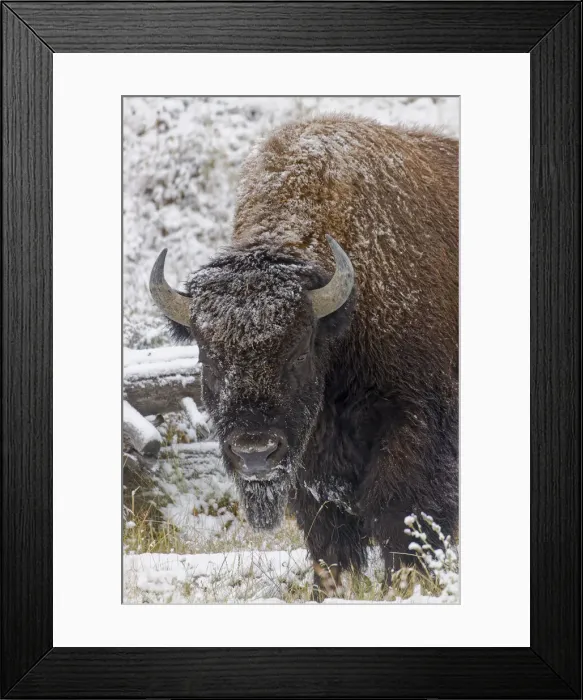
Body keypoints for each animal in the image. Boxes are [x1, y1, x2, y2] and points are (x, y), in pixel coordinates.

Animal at [150, 114, 459, 597]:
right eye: (209, 357)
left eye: (297, 352)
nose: (255, 452)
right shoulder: (306, 458)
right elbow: (328, 534)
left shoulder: (415, 428)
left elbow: (400, 513)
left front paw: (408, 585)